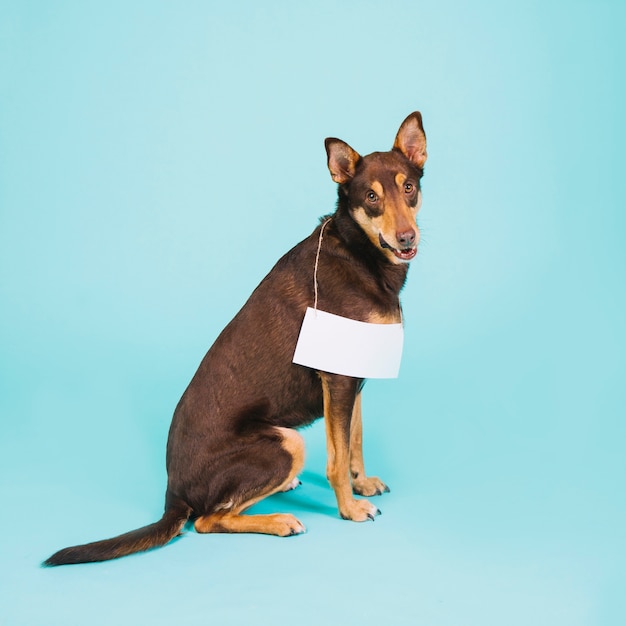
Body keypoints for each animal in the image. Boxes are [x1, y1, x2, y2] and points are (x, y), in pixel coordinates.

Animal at [42, 109, 424, 564]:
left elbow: (355, 439)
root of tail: (173, 494)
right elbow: (337, 457)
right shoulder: (338, 381)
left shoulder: (353, 376)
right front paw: (350, 508)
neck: (359, 252)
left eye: (409, 188)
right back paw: (279, 521)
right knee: (207, 520)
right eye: (370, 197)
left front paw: (362, 483)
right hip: (286, 442)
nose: (407, 238)